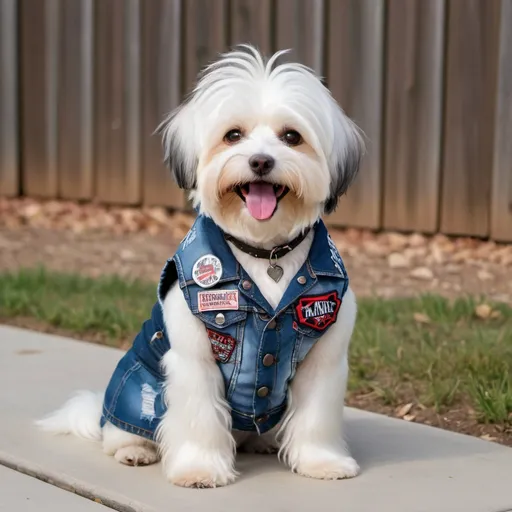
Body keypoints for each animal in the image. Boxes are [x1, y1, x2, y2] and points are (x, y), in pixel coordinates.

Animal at [37, 45, 364, 488]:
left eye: (291, 137)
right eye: (233, 135)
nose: (260, 162)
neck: (266, 254)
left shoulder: (324, 358)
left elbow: (316, 417)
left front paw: (322, 462)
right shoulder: (195, 358)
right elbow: (198, 418)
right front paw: (199, 469)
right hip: (136, 388)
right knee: (121, 433)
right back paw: (134, 450)